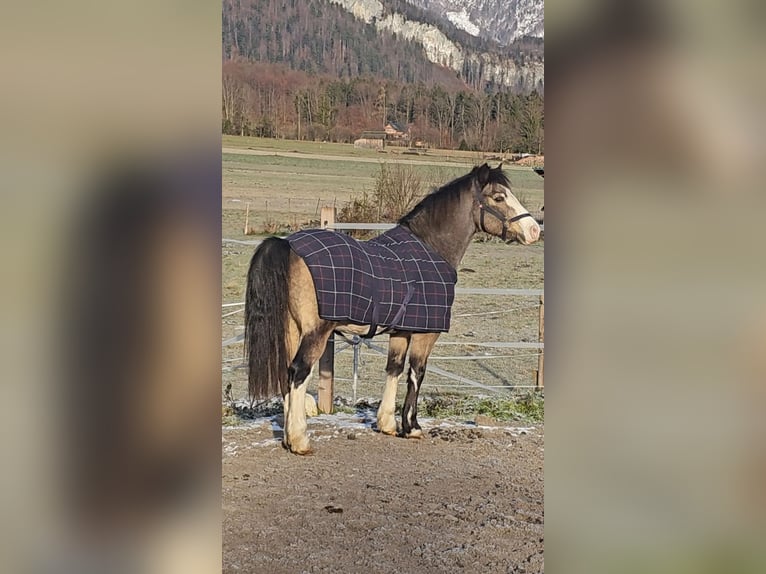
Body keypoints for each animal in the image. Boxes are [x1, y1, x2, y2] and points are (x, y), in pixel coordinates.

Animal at [244, 162, 540, 454]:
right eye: (499, 197)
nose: (534, 230)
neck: (431, 249)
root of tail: (286, 244)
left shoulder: (401, 331)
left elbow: (394, 369)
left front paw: (387, 423)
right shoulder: (426, 334)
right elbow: (416, 373)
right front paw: (412, 427)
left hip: (291, 330)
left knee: (285, 372)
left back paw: (287, 438)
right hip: (315, 333)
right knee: (298, 373)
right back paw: (300, 440)